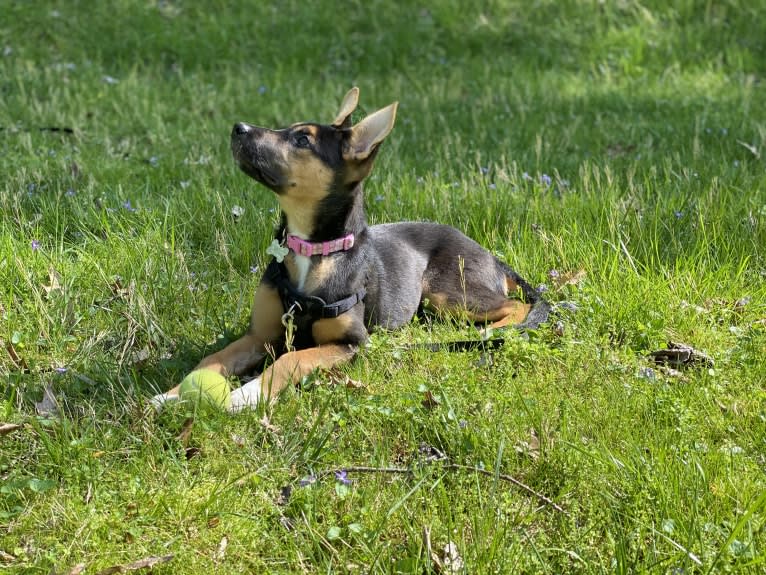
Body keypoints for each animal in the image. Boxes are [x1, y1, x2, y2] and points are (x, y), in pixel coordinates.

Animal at [154, 88, 552, 412]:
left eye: (302, 139)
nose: (238, 127)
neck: (313, 250)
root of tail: (492, 258)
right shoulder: (259, 336)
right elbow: (212, 358)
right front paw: (170, 395)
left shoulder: (351, 343)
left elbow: (290, 360)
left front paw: (247, 394)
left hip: (446, 292)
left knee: (516, 306)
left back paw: (491, 333)